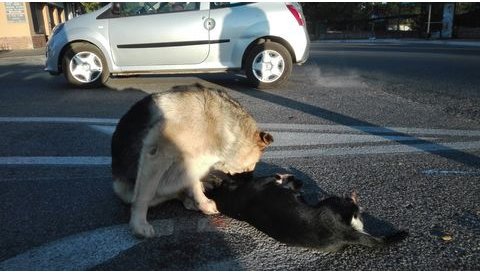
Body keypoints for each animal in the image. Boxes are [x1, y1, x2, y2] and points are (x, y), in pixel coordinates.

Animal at [110, 83, 272, 238]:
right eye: (249, 167)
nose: (250, 183)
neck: (212, 123)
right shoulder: (157, 155)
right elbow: (144, 195)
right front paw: (139, 224)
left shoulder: (193, 162)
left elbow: (194, 184)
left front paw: (202, 202)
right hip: (127, 189)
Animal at [201, 171, 406, 252]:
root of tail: (344, 233)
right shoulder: (266, 180)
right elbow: (278, 178)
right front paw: (289, 179)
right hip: (332, 203)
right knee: (353, 207)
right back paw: (353, 199)